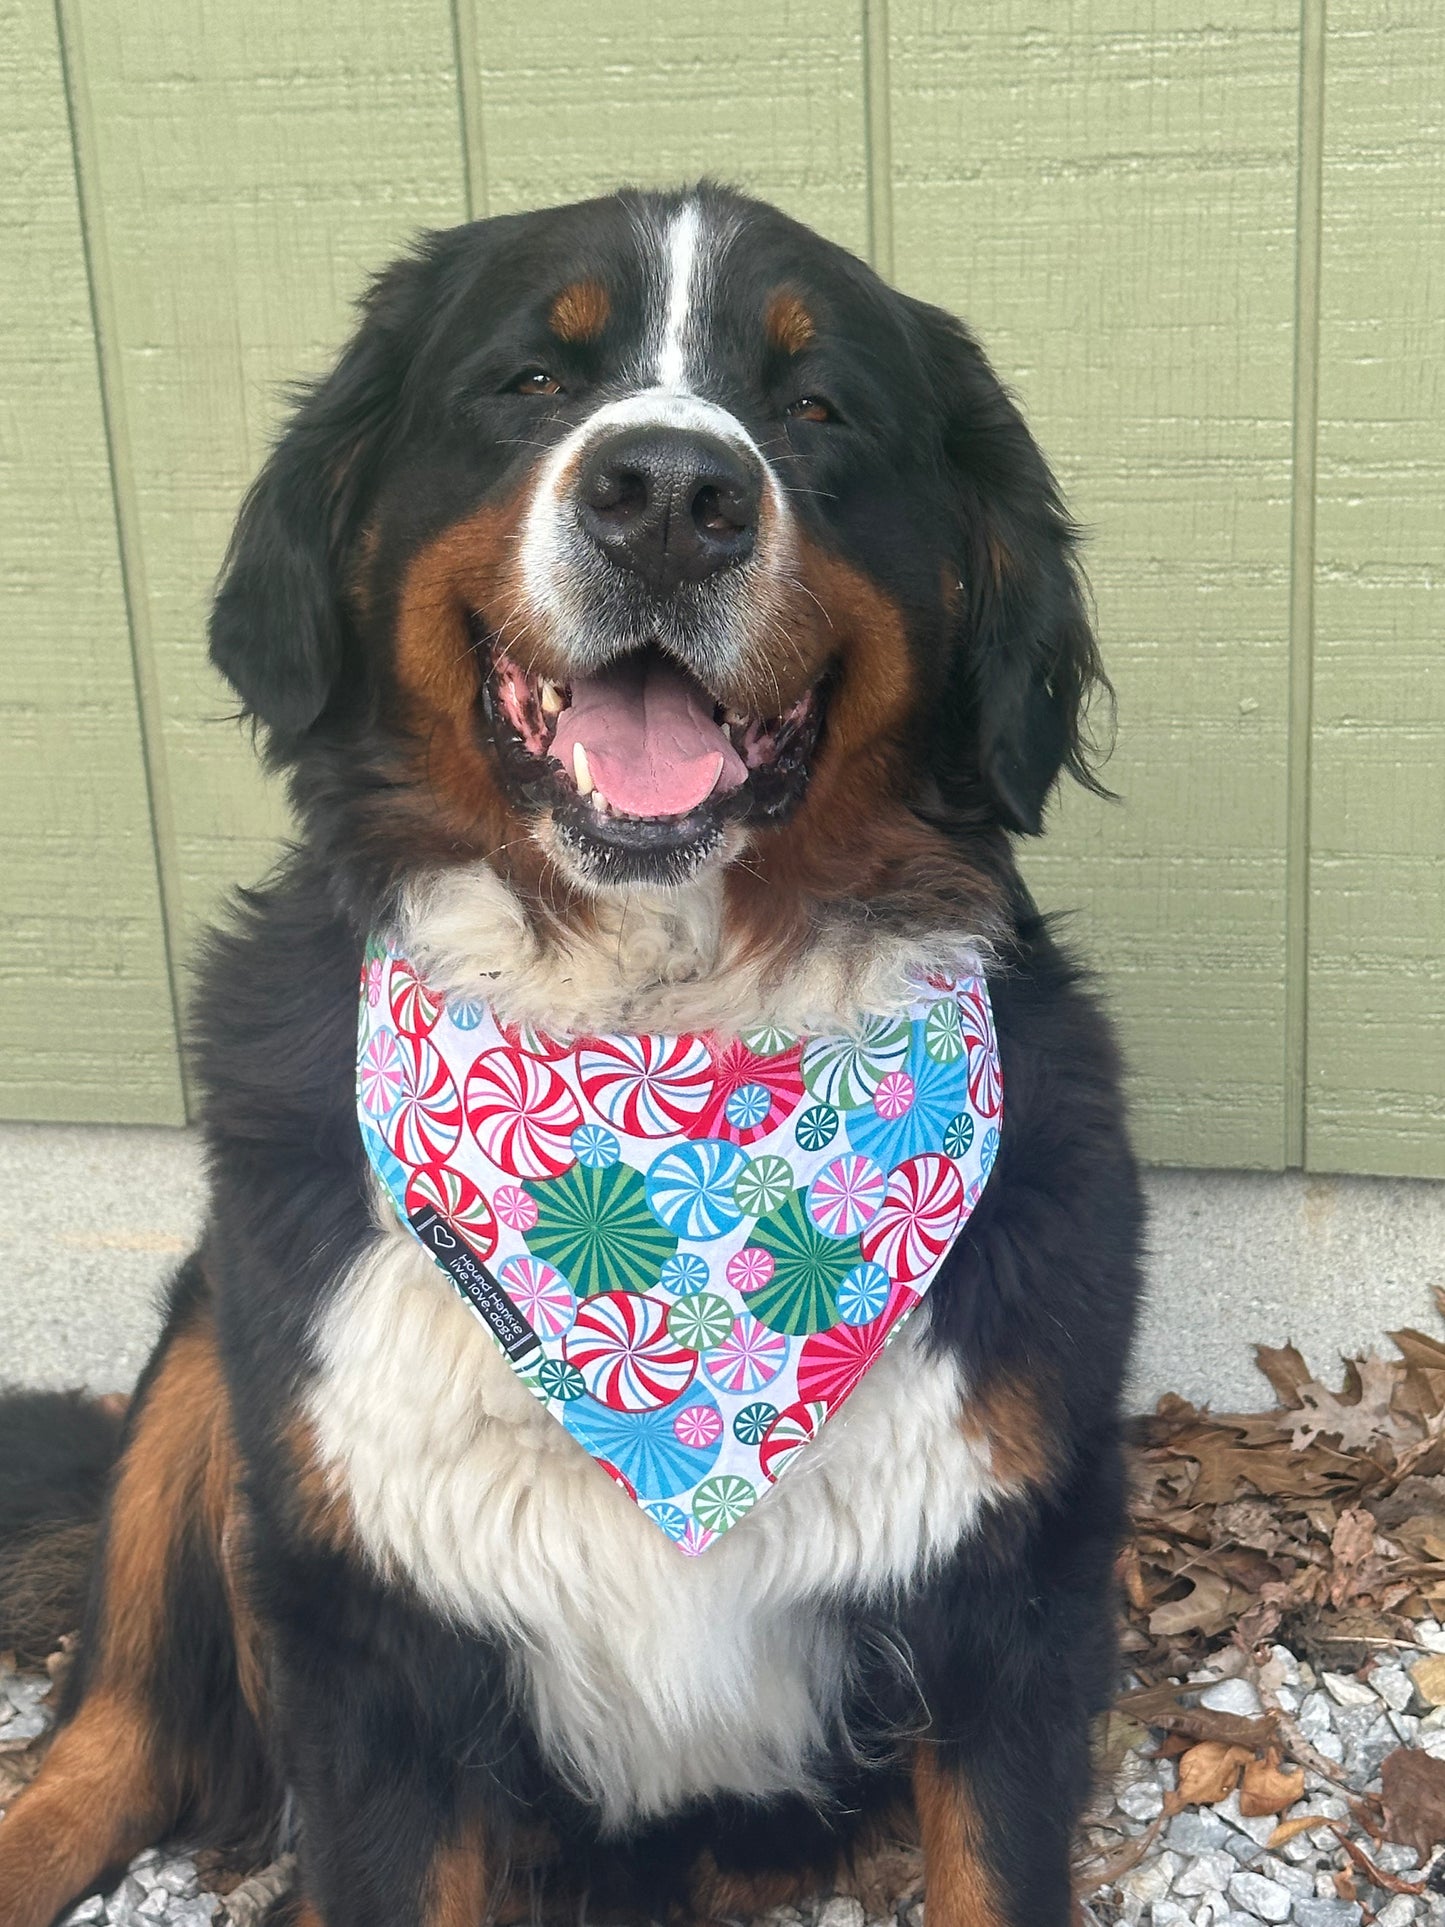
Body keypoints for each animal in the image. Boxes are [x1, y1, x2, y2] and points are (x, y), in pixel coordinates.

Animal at [0, 181, 1140, 1927]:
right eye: (530, 381)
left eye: (819, 410)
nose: (669, 494)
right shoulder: (371, 1634)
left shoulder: (1013, 1599)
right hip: (207, 1363)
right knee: (116, 1734)